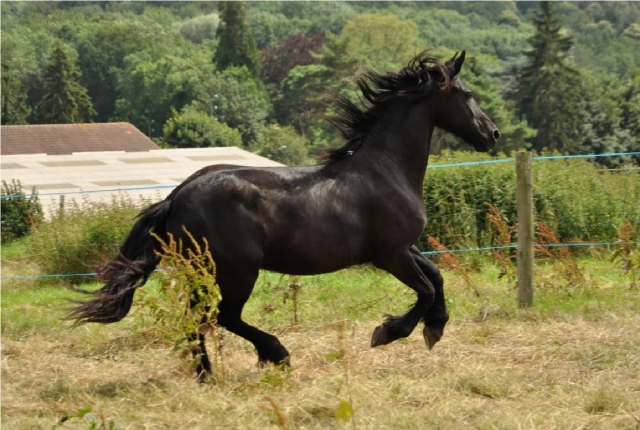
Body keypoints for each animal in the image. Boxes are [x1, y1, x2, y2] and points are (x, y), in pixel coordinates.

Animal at [69, 50, 500, 380]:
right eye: (467, 93)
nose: (492, 134)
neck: (386, 169)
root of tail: (176, 197)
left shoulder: (404, 248)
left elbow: (437, 277)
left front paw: (435, 328)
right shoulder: (389, 254)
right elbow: (425, 289)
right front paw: (389, 331)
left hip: (201, 272)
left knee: (197, 318)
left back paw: (206, 374)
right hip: (237, 271)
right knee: (224, 316)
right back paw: (275, 354)